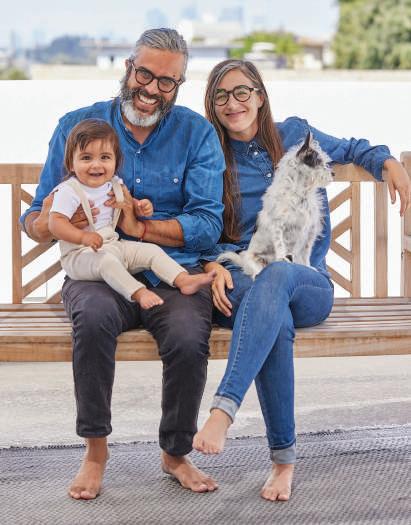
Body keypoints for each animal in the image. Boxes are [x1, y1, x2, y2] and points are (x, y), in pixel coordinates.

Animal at [217, 131, 334, 279]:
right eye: (318, 162)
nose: (333, 173)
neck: (301, 194)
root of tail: (243, 262)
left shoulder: (309, 232)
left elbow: (305, 254)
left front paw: (307, 267)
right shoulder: (278, 226)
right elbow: (280, 245)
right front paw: (282, 258)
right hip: (254, 262)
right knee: (256, 273)